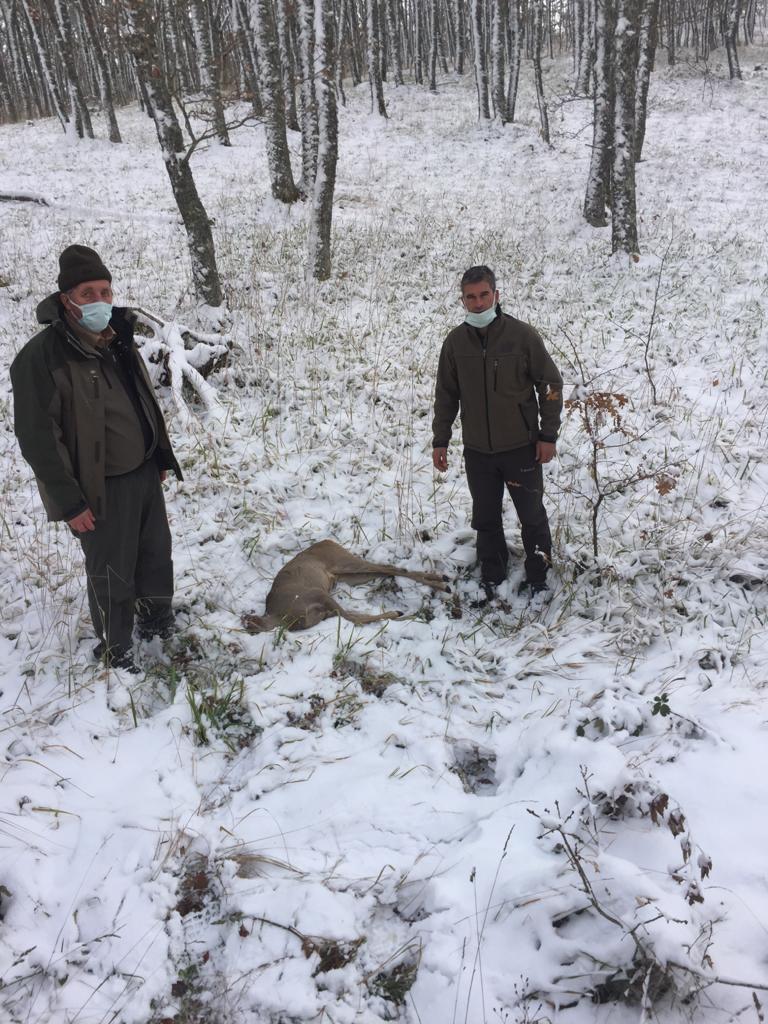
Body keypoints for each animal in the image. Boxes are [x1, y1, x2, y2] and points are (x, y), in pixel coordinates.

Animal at [241, 540, 450, 633]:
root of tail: (328, 540)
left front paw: (400, 614)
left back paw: (443, 583)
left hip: (344, 562)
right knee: (389, 569)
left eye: (249, 622)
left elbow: (352, 617)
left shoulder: (316, 594)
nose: (248, 625)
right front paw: (402, 615)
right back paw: (442, 581)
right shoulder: (325, 611)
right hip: (349, 576)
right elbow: (352, 616)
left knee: (388, 567)